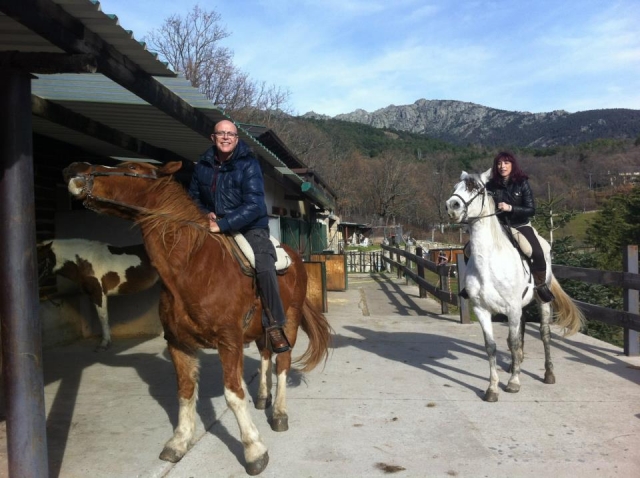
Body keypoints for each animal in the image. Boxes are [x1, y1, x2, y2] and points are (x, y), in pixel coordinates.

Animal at [62, 160, 332, 475]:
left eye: (132, 168)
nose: (75, 169)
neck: (193, 267)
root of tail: (294, 256)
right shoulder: (178, 343)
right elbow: (186, 391)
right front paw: (179, 442)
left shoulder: (229, 342)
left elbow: (233, 394)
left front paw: (254, 451)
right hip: (262, 327)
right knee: (266, 355)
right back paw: (263, 397)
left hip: (288, 320)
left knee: (283, 363)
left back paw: (278, 413)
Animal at [445, 170, 585, 402]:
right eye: (455, 186)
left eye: (477, 189)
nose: (451, 206)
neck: (490, 263)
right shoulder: (482, 310)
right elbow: (492, 346)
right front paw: (492, 388)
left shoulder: (512, 308)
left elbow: (514, 341)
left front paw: (513, 383)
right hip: (521, 307)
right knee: (520, 332)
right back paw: (514, 364)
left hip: (541, 301)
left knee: (544, 334)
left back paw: (548, 374)